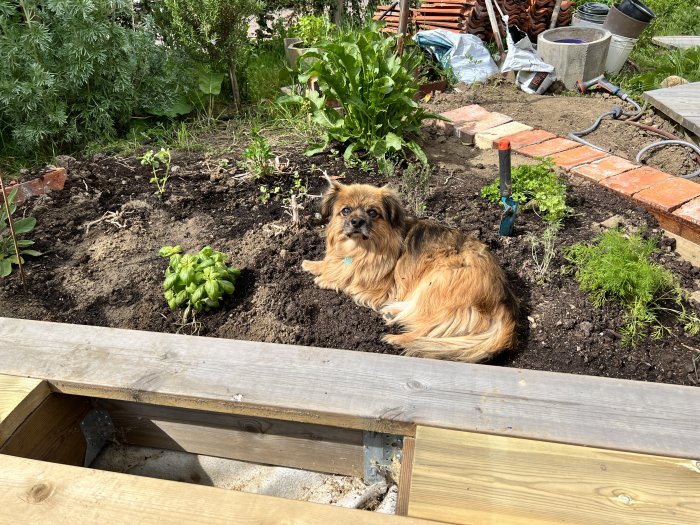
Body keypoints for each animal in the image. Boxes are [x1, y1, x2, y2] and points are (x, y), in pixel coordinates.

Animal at [300, 180, 516, 360]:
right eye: (345, 210)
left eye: (372, 213)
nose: (357, 221)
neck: (361, 247)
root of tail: (503, 300)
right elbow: (331, 264)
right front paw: (313, 264)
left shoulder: (374, 286)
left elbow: (347, 279)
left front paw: (326, 279)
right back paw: (392, 313)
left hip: (437, 282)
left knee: (428, 328)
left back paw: (398, 339)